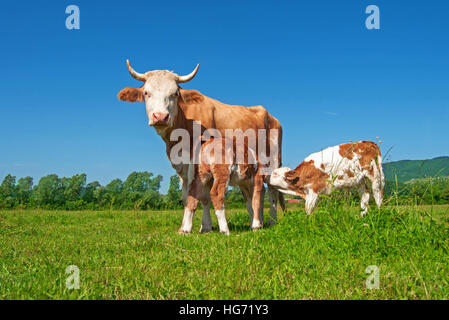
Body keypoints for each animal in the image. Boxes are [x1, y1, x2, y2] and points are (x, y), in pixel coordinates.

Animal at [116, 60, 284, 232]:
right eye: (146, 93)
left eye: (175, 93)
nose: (161, 117)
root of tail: (270, 116)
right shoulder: (183, 166)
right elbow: (188, 195)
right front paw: (194, 227)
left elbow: (203, 195)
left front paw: (203, 225)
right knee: (255, 192)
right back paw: (257, 221)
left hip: (273, 161)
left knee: (272, 190)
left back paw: (271, 221)